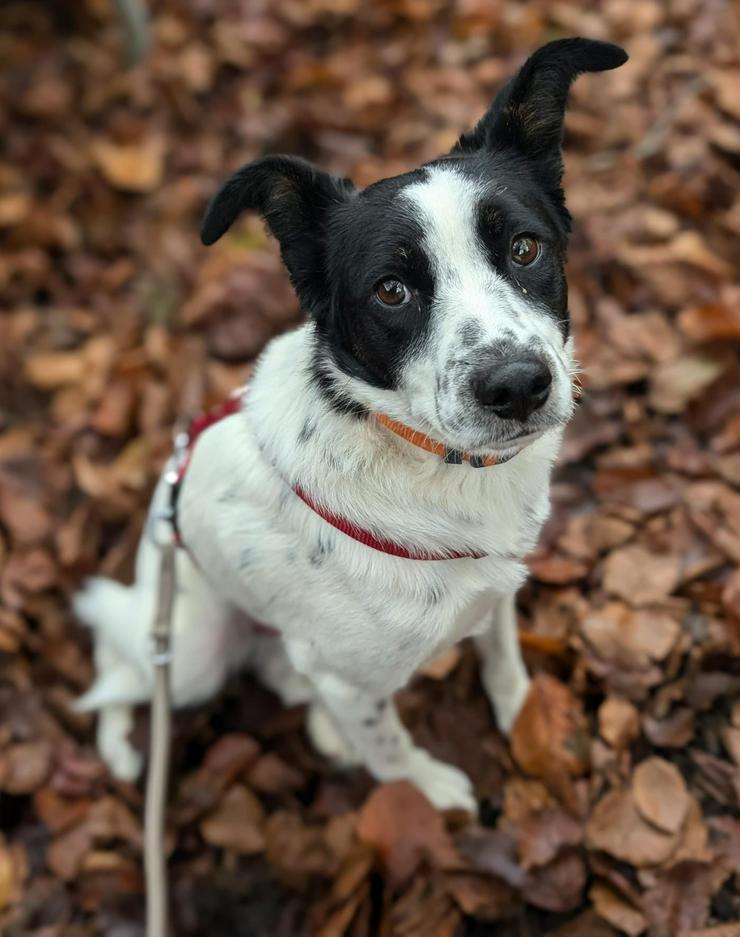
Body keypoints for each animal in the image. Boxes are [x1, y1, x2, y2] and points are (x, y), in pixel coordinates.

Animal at [75, 38, 628, 812]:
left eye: (525, 248)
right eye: (391, 291)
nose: (517, 385)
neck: (431, 462)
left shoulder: (497, 590)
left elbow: (502, 655)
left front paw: (524, 715)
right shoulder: (348, 680)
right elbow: (389, 747)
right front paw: (430, 790)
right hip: (191, 651)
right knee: (119, 666)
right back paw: (123, 748)